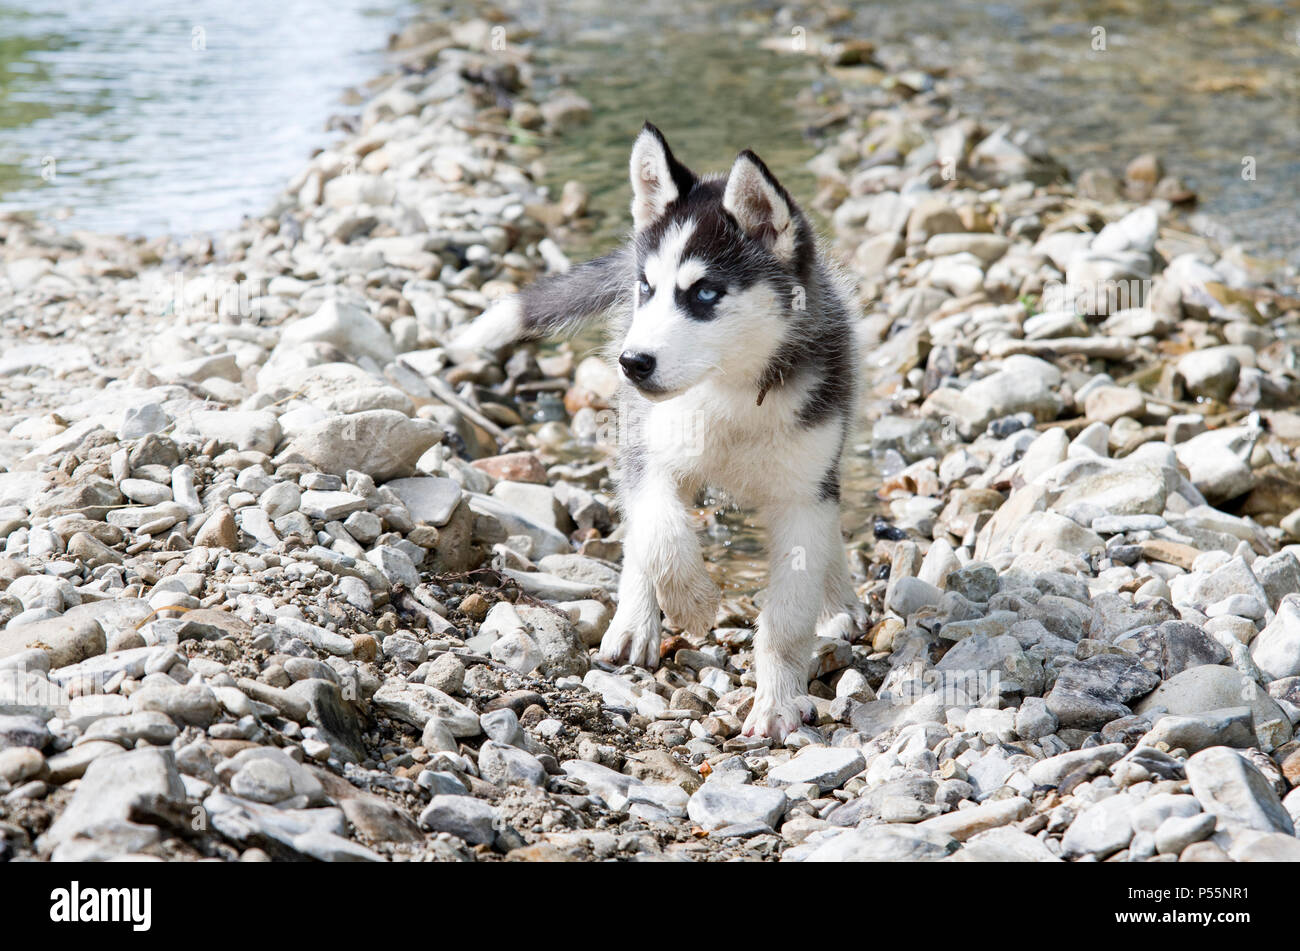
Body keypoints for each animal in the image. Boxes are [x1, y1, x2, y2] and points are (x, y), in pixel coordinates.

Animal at [452, 122, 868, 737]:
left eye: (704, 293)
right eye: (646, 288)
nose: (633, 362)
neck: (731, 394)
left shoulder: (804, 491)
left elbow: (790, 612)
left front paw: (777, 701)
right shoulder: (649, 453)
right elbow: (660, 530)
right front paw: (691, 602)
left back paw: (838, 599)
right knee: (640, 531)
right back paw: (634, 619)